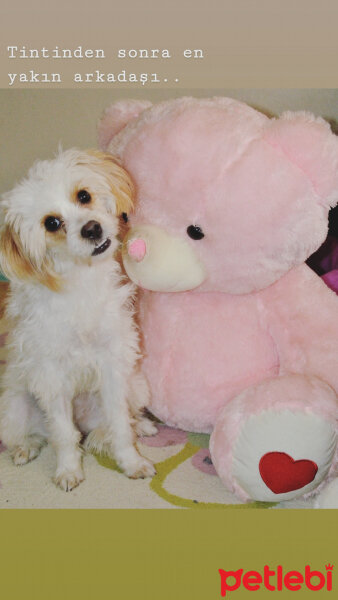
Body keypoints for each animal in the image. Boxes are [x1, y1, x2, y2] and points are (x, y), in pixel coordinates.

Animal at [0, 148, 156, 490]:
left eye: (83, 195)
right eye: (52, 222)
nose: (92, 229)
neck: (82, 283)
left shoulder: (113, 366)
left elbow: (120, 426)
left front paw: (132, 463)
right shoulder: (52, 377)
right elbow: (62, 434)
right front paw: (68, 470)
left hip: (136, 386)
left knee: (119, 422)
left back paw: (140, 427)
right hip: (13, 408)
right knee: (37, 434)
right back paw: (25, 447)